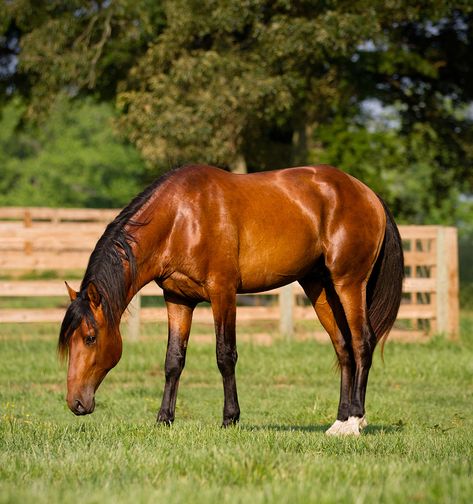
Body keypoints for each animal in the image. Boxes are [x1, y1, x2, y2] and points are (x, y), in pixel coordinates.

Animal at [58, 163, 402, 436]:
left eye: (90, 337)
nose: (76, 403)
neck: (180, 218)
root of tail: (368, 194)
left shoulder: (222, 292)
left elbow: (225, 355)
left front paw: (230, 418)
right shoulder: (177, 299)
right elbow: (173, 360)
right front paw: (164, 419)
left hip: (349, 283)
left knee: (362, 342)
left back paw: (355, 420)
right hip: (318, 286)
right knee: (343, 347)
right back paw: (339, 422)